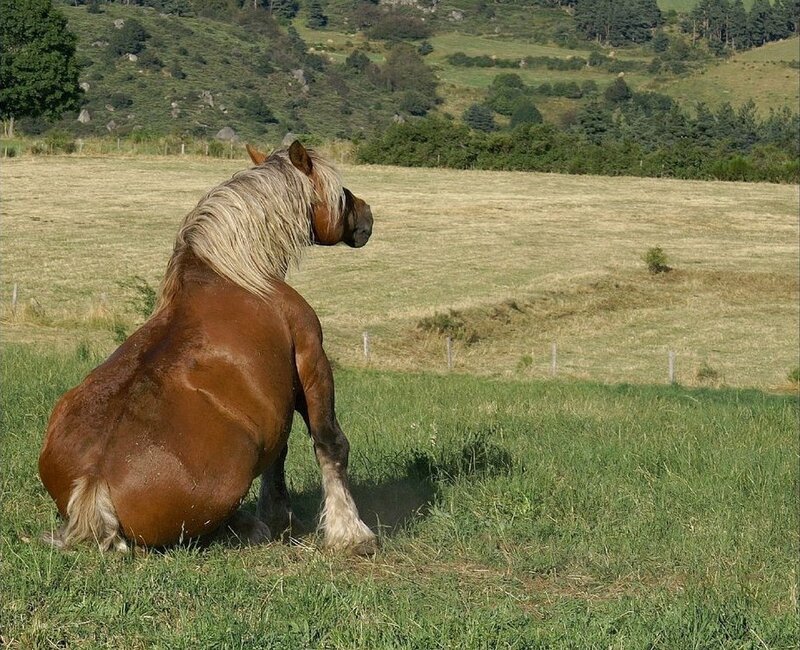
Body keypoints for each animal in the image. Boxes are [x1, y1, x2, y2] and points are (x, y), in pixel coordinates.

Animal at [38, 140, 377, 555]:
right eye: (340, 192)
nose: (366, 213)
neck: (234, 271)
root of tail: (93, 485)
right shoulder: (311, 361)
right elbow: (329, 444)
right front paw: (351, 533)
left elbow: (279, 454)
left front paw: (281, 515)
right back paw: (253, 527)